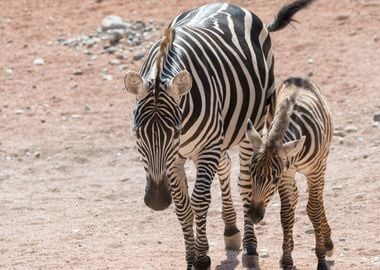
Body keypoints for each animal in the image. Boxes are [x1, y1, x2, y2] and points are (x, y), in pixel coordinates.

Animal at [124, 1, 314, 268]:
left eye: (175, 131)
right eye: (137, 133)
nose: (157, 201)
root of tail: (227, 4)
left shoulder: (204, 146)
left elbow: (200, 200)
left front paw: (202, 258)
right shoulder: (177, 157)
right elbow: (183, 205)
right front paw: (191, 258)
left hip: (250, 128)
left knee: (245, 183)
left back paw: (250, 248)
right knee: (225, 165)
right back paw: (231, 229)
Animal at [246, 77, 332, 268]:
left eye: (274, 179)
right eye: (251, 174)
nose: (254, 216)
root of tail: (298, 78)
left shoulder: (312, 172)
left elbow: (313, 209)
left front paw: (321, 258)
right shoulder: (286, 174)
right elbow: (286, 215)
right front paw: (286, 259)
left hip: (322, 163)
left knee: (319, 197)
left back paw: (328, 241)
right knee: (294, 197)